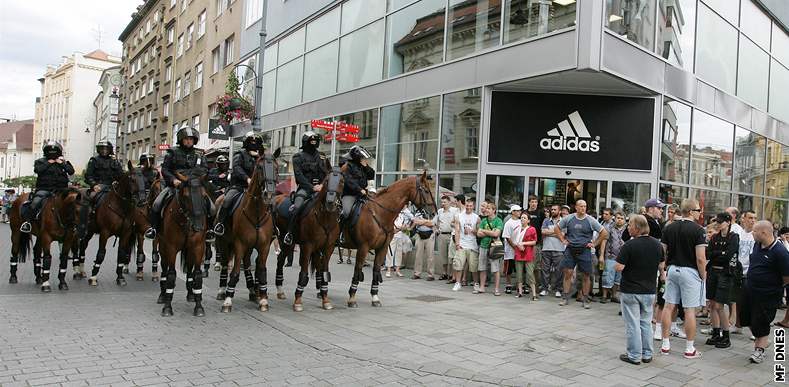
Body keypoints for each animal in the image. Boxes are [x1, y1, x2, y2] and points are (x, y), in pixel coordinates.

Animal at [157, 171, 209, 316]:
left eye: (204, 195)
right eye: (186, 196)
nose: (198, 226)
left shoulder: (198, 246)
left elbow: (197, 275)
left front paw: (199, 306)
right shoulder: (171, 248)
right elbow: (171, 275)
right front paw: (167, 307)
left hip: (189, 249)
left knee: (190, 269)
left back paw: (191, 294)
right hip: (162, 245)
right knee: (164, 268)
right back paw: (162, 295)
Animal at [214, 150, 278, 314]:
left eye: (276, 168)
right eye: (260, 167)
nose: (269, 194)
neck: (256, 211)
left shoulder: (263, 246)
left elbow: (261, 271)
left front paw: (263, 299)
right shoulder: (239, 244)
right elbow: (235, 271)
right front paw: (228, 300)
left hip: (249, 247)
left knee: (248, 264)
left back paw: (252, 291)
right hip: (224, 242)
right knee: (225, 264)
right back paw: (222, 290)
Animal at [272, 167, 344, 312]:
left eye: (342, 181)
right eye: (327, 181)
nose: (330, 202)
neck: (324, 218)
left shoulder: (328, 248)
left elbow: (324, 273)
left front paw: (325, 300)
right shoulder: (307, 246)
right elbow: (304, 274)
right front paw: (298, 301)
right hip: (285, 241)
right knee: (280, 260)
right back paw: (280, 289)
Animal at [338, 173, 438, 310]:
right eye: (426, 190)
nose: (434, 213)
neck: (379, 213)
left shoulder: (382, 248)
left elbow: (376, 269)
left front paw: (375, 297)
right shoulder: (363, 247)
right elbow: (358, 269)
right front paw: (352, 298)